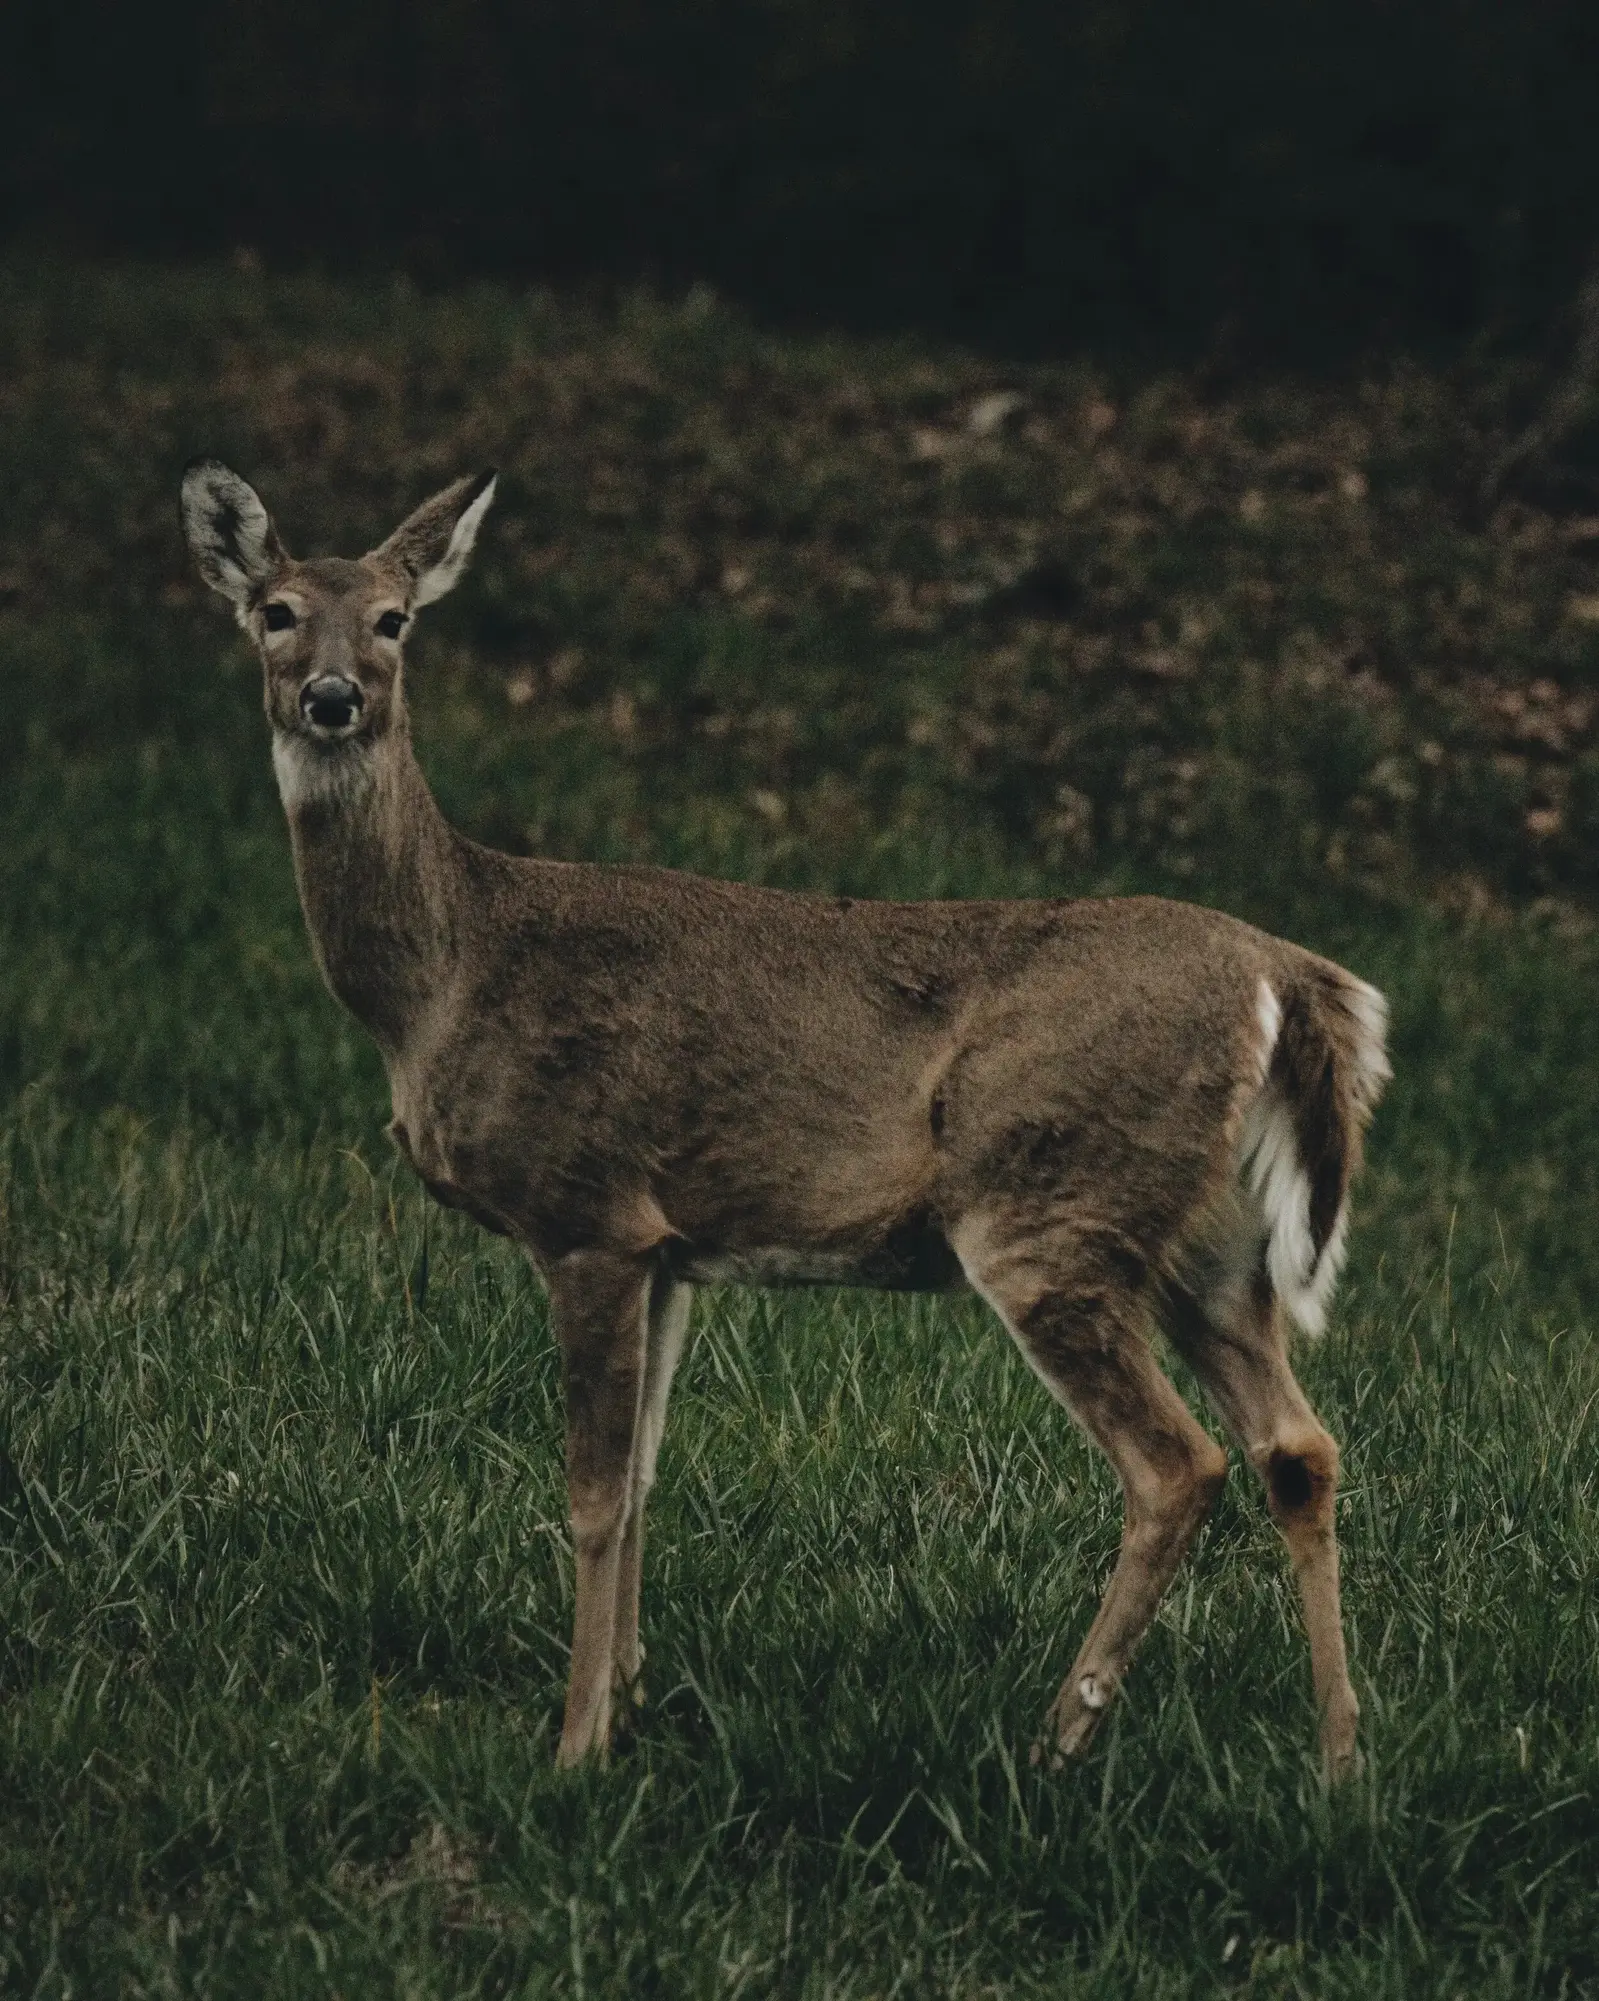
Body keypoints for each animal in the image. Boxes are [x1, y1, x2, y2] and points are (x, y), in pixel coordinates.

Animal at [180, 459, 1390, 1777]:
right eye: (277, 611)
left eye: (395, 619)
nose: (334, 698)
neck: (445, 976)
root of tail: (1279, 974)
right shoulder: (668, 1246)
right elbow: (646, 1475)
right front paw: (631, 1700)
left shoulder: (586, 1209)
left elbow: (593, 1492)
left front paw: (573, 1748)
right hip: (1210, 1248)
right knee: (1299, 1449)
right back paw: (1339, 1760)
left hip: (1053, 1206)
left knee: (1180, 1465)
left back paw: (1055, 1739)